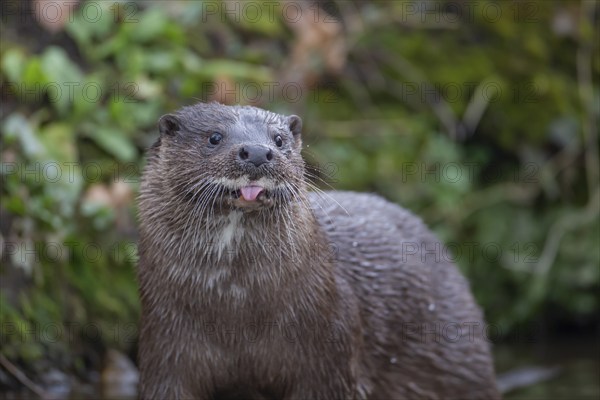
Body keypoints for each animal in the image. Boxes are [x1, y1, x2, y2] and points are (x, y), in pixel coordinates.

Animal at [138, 101, 500, 398]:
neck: (235, 312)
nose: (256, 152)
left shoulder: (330, 352)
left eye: (278, 140)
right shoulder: (165, 349)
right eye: (214, 137)